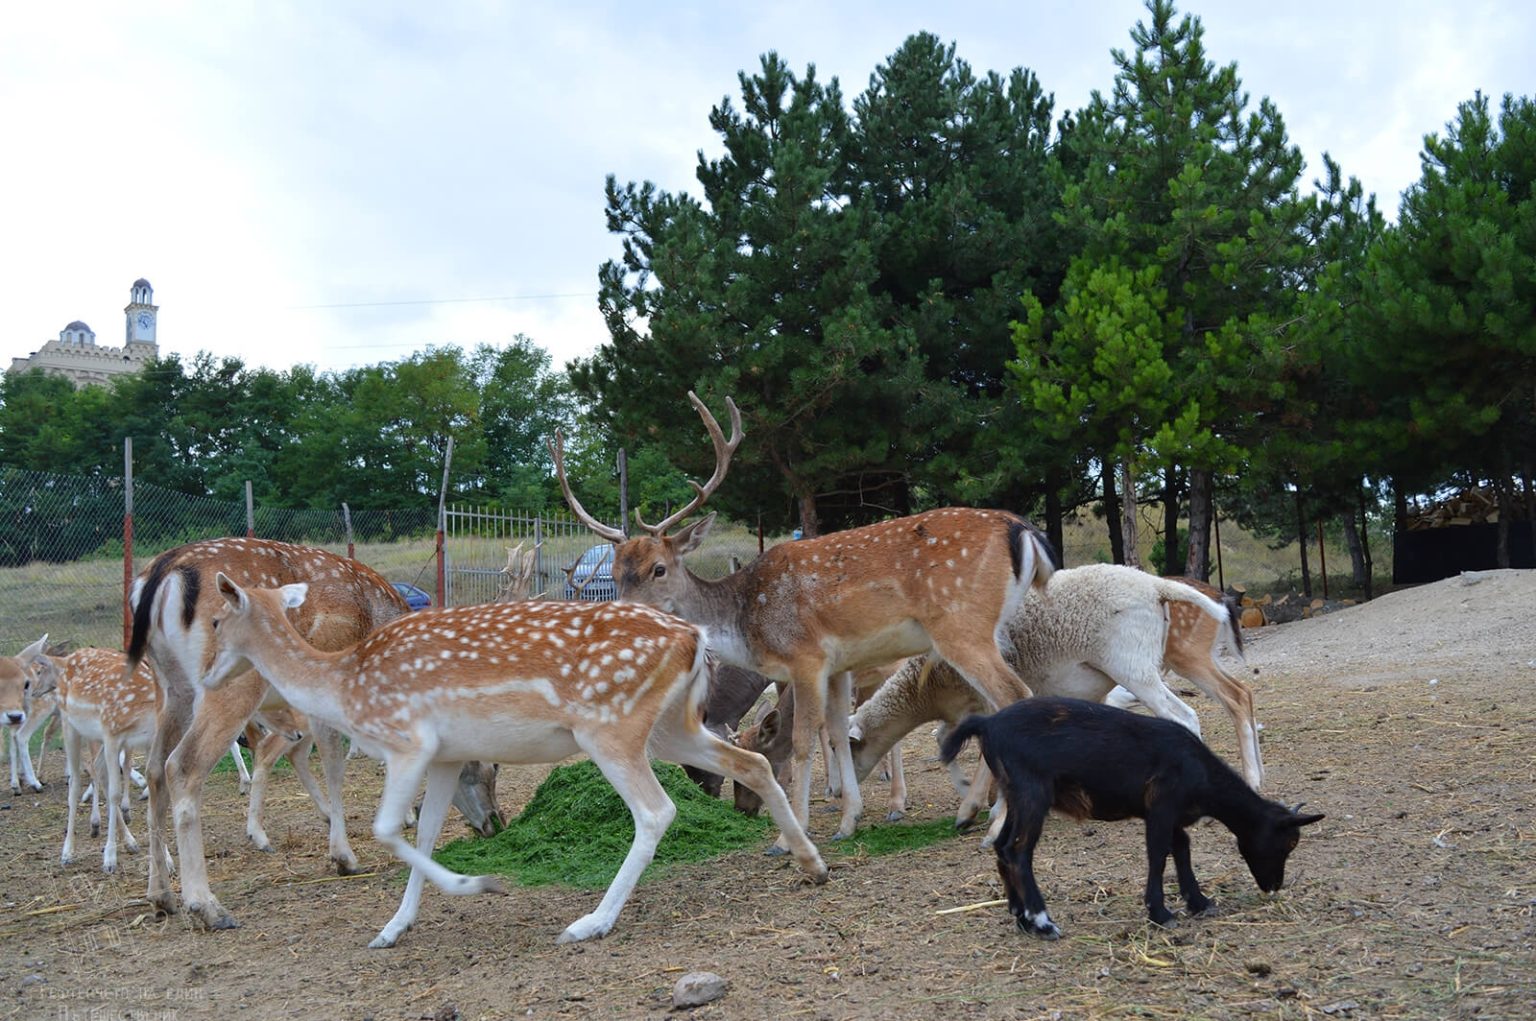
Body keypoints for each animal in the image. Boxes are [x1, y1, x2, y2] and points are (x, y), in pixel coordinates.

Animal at [552, 389, 1056, 841]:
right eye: (617, 570)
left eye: (658, 568)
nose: (620, 612)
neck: (747, 625)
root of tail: (1023, 530)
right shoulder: (838, 666)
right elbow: (836, 732)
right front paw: (849, 821)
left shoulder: (805, 657)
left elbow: (800, 742)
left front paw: (791, 835)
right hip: (986, 632)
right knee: (996, 704)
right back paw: (975, 811)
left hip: (962, 625)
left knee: (1014, 695)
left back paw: (995, 819)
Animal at [933, 697, 1320, 933]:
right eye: (1289, 842)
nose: (1274, 886)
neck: (1201, 776)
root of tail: (988, 724)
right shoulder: (1162, 805)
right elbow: (1159, 855)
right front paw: (1160, 913)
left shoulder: (1170, 813)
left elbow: (1182, 849)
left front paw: (1198, 902)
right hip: (1032, 791)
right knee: (1018, 851)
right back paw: (1042, 921)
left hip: (1015, 793)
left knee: (1002, 847)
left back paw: (1021, 916)